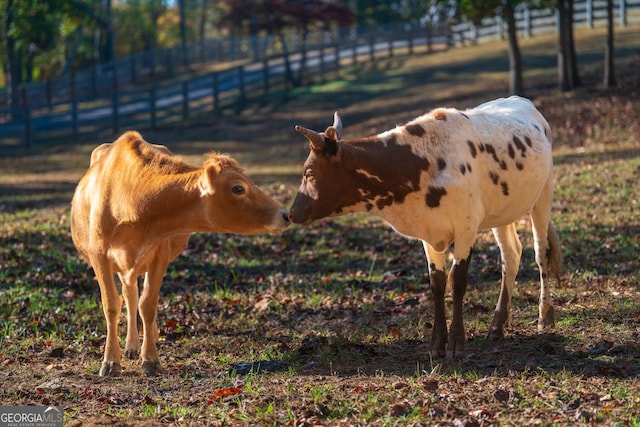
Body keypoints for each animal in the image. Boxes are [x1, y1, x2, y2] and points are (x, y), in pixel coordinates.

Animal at [71, 131, 288, 378]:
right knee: (129, 294)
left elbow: (148, 304)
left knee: (134, 295)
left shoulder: (159, 254)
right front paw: (110, 362)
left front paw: (150, 359)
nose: (284, 214)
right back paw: (132, 346)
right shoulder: (99, 256)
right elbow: (111, 305)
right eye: (238, 188)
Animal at [288, 96, 564, 358]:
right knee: (511, 255)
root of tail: (525, 103)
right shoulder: (429, 233)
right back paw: (497, 326)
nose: (290, 213)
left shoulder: (466, 229)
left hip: (543, 195)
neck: (420, 164)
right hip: (502, 212)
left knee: (541, 253)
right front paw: (436, 344)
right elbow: (437, 283)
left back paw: (544, 317)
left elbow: (457, 281)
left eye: (309, 172)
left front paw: (456, 343)